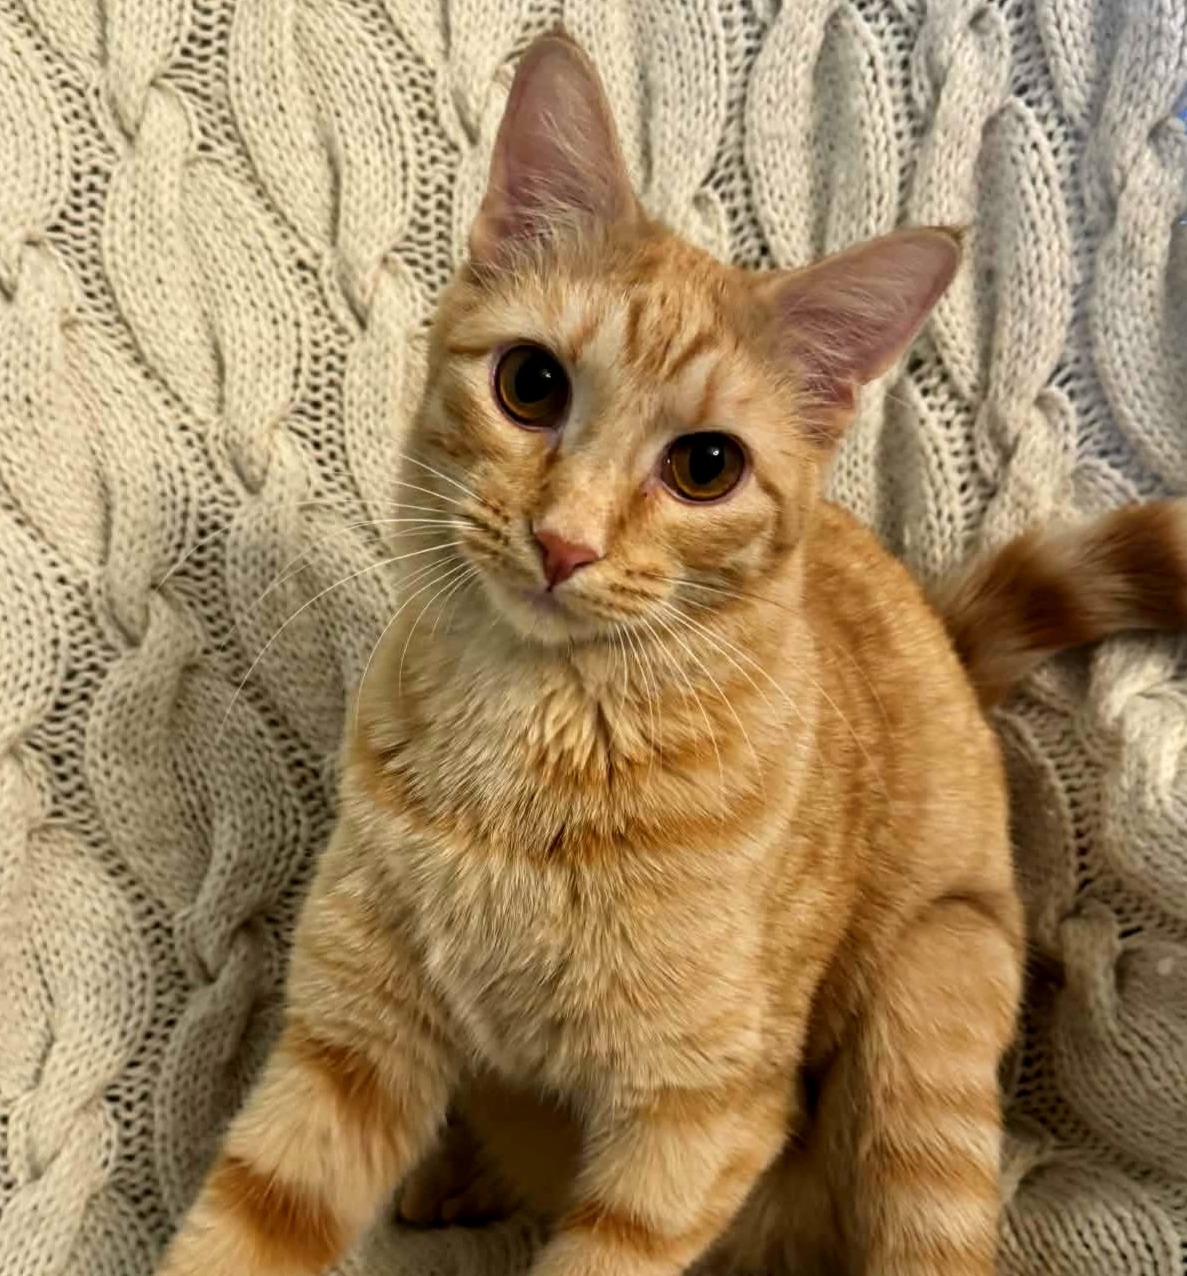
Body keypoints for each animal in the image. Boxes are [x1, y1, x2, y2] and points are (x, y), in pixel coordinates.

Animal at [157, 31, 1187, 1276]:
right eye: (530, 383)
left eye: (705, 465)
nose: (564, 542)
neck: (539, 732)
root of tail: (941, 638)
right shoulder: (351, 1036)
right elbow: (243, 1226)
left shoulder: (695, 1114)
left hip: (926, 1005)